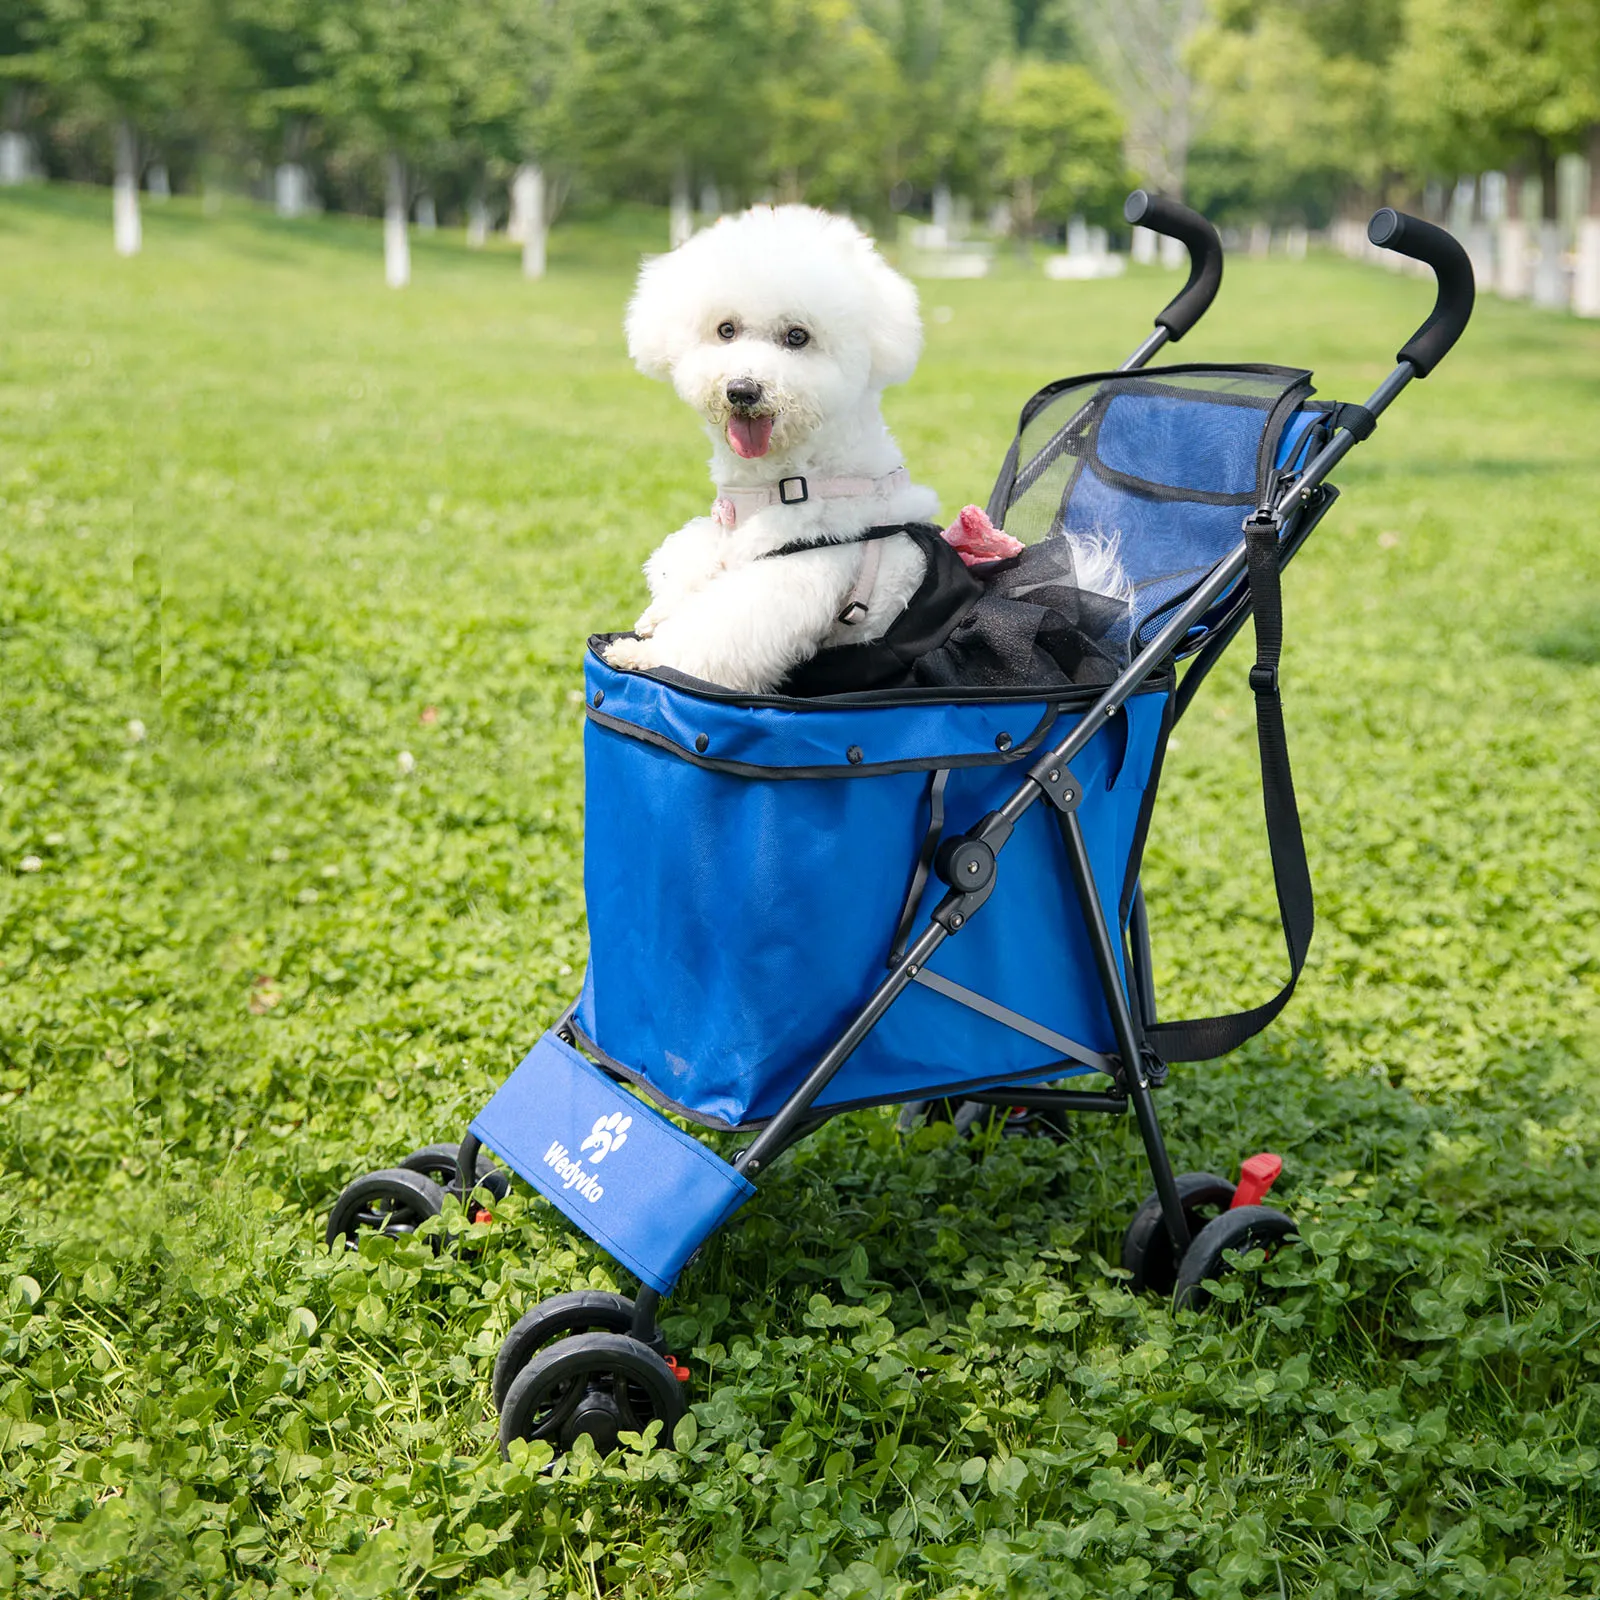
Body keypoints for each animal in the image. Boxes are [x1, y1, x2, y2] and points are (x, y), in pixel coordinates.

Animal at [604, 203, 940, 691]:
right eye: (726, 330)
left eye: (797, 336)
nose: (742, 390)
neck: (786, 480)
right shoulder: (721, 541)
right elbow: (687, 562)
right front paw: (658, 613)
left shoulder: (794, 574)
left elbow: (711, 632)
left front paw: (643, 654)